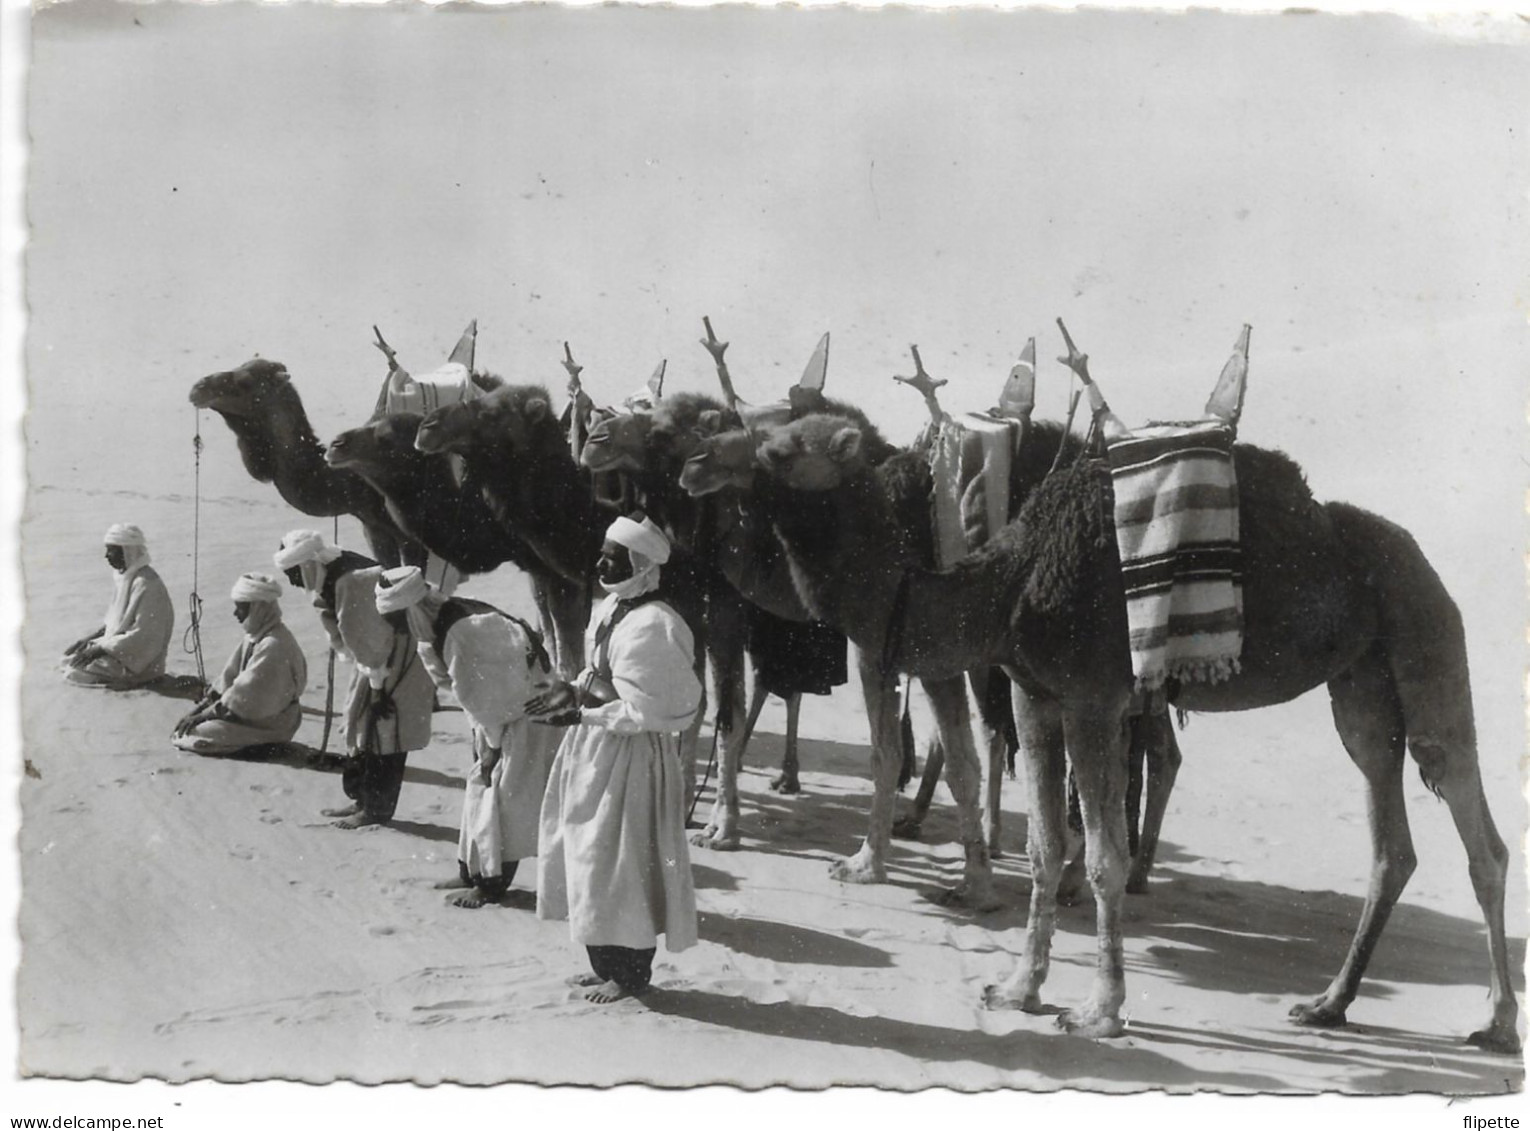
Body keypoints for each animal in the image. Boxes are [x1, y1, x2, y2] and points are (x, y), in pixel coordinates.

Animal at [716, 410, 1517, 1052]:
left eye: (782, 445)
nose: (705, 462)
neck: (1015, 578)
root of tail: (1420, 559)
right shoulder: (1036, 694)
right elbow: (1044, 846)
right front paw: (1018, 988)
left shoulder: (1095, 699)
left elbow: (1102, 855)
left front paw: (1099, 1011)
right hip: (1361, 687)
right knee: (1389, 834)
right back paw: (1328, 1004)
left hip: (1427, 636)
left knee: (1479, 831)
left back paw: (1496, 1022)